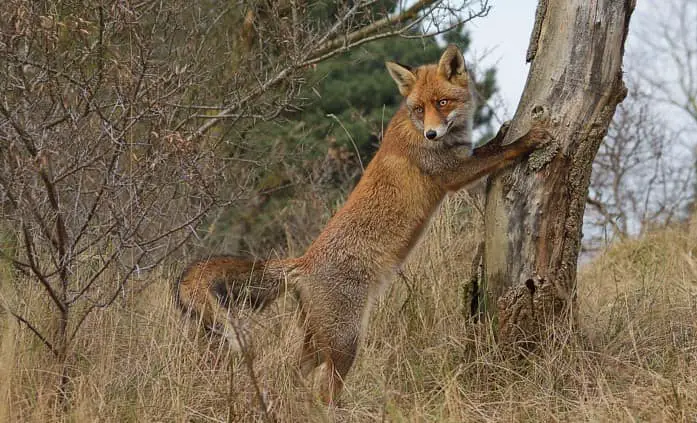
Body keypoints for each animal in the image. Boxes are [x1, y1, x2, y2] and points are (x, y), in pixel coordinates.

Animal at [177, 44, 552, 402]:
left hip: (319, 342)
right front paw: (529, 138)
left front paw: (505, 130)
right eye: (420, 109)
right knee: (322, 393)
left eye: (442, 103)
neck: (418, 130)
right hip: (346, 342)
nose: (431, 134)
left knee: (291, 373)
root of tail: (303, 263)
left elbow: (490, 147)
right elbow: (497, 153)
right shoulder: (452, 174)